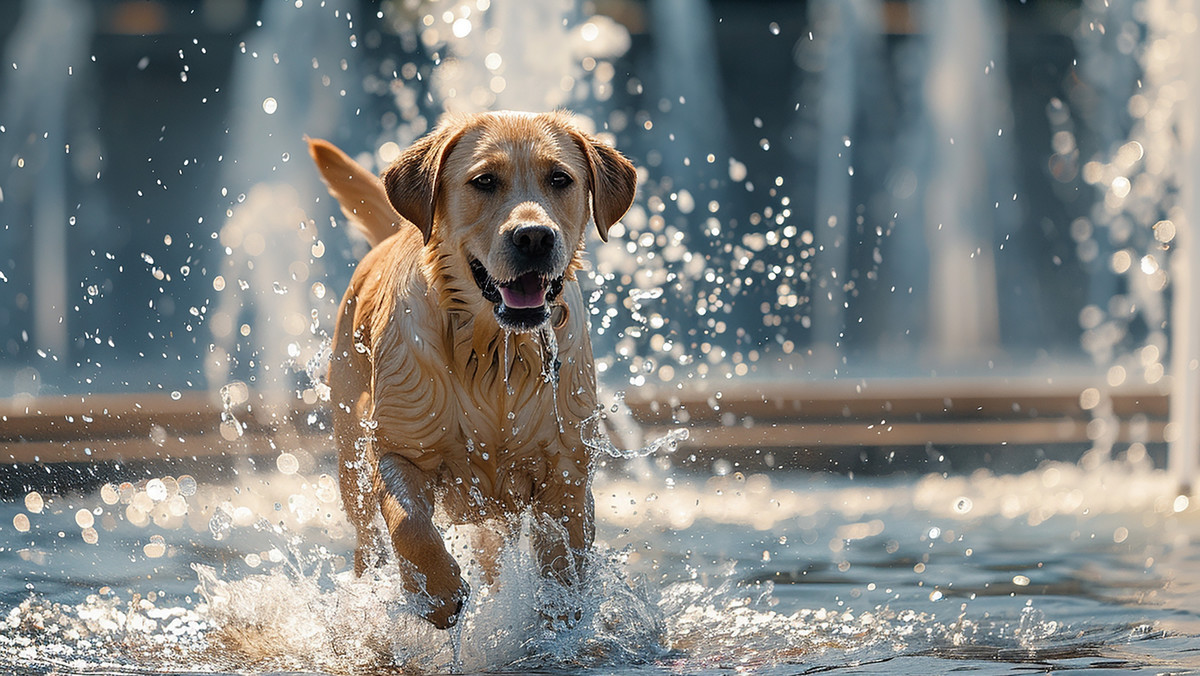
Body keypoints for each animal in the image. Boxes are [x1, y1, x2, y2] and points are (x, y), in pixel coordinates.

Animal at [307, 112, 638, 629]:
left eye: (560, 179)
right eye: (484, 181)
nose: (534, 236)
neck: (494, 352)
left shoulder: (568, 471)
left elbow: (564, 561)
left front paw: (558, 621)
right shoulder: (399, 448)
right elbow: (410, 525)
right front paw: (439, 595)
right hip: (351, 463)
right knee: (368, 543)